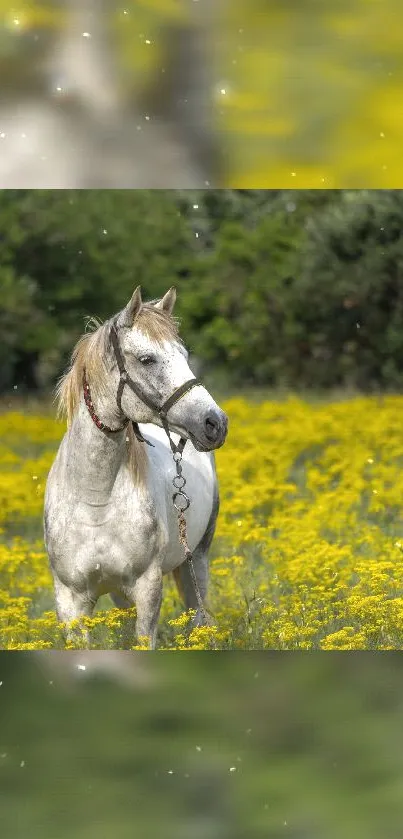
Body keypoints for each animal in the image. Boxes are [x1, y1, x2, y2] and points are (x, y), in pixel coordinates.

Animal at [44, 288, 229, 648]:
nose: (215, 423)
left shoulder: (147, 589)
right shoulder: (70, 600)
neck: (95, 500)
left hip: (196, 559)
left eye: (184, 355)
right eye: (147, 359)